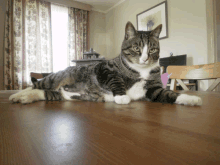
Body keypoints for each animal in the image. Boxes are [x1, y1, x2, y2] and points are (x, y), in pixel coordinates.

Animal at [9, 21, 203, 105]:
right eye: (137, 48)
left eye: (153, 49)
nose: (145, 58)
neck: (140, 71)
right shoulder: (104, 69)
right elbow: (115, 80)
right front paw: (122, 96)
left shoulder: (153, 88)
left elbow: (167, 94)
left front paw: (190, 98)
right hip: (55, 78)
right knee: (36, 84)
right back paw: (17, 95)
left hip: (60, 95)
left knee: (44, 93)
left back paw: (25, 98)